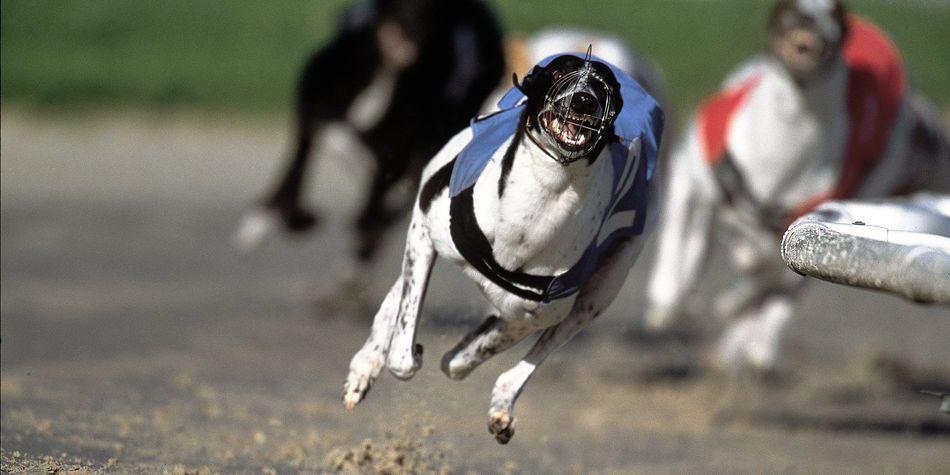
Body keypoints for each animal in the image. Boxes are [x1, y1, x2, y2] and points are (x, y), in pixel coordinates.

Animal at [238, 0, 506, 264]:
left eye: (433, 11)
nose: (411, 31)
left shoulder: (394, 152)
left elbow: (376, 200)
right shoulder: (313, 114)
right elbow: (295, 169)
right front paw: (278, 218)